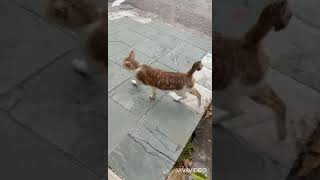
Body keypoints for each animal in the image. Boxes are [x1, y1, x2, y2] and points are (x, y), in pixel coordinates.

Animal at [214, 0, 292, 141]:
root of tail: (248, 41)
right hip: (255, 88)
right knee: (280, 104)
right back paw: (282, 134)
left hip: (227, 92)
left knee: (238, 112)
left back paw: (215, 121)